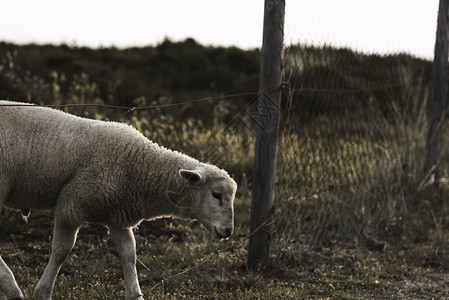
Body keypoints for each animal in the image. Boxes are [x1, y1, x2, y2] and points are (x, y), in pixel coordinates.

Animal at [0, 101, 238, 300]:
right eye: (216, 195)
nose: (228, 231)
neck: (137, 165)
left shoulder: (117, 216)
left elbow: (129, 254)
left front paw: (135, 295)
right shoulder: (72, 205)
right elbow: (61, 252)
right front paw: (42, 292)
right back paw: (12, 288)